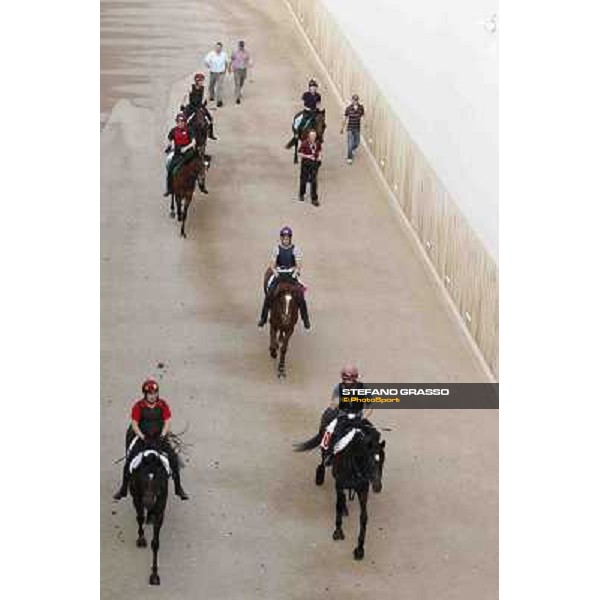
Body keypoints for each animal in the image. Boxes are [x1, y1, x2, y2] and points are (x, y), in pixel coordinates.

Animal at [296, 420, 390, 560]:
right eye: (369, 460)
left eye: (382, 461)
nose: (377, 487)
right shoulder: (339, 485)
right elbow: (338, 506)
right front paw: (338, 532)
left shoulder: (363, 490)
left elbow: (363, 517)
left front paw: (360, 549)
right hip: (325, 452)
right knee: (323, 463)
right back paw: (320, 476)